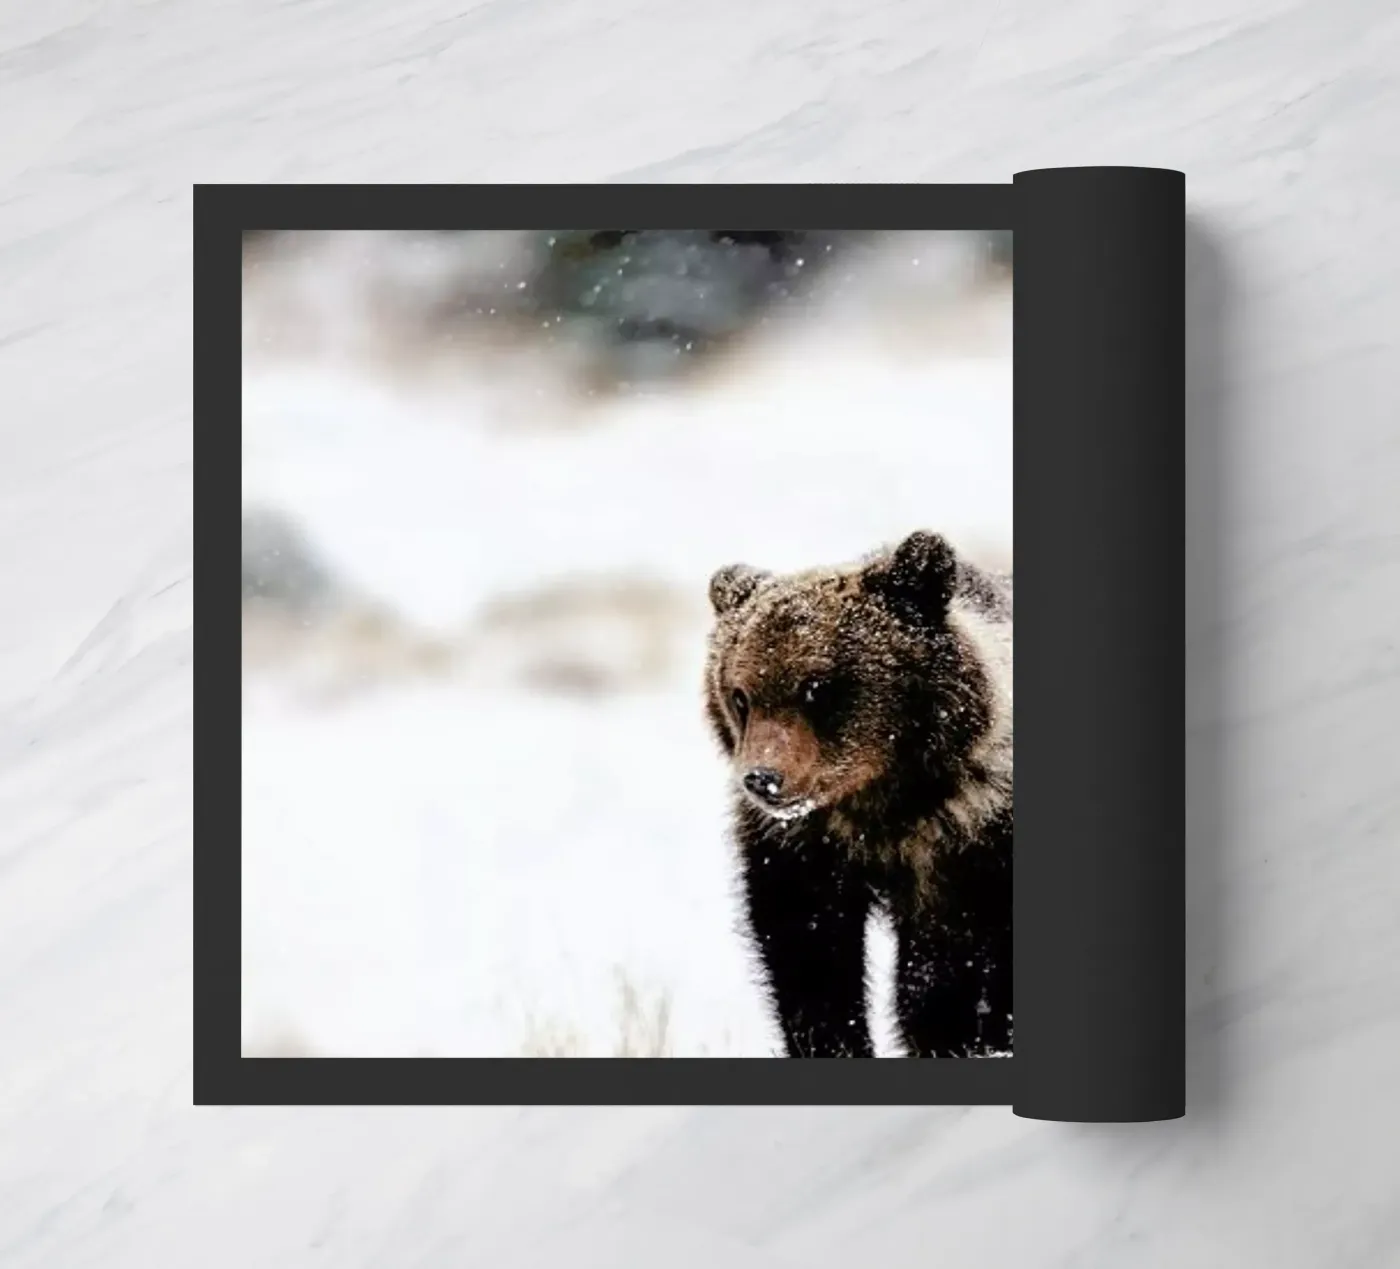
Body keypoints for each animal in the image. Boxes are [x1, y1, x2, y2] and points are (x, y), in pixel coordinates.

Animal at [703, 530, 1012, 1058]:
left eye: (815, 686)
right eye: (740, 695)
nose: (763, 778)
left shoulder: (967, 846)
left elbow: (953, 972)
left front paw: (956, 1035)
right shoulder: (803, 851)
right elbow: (810, 957)